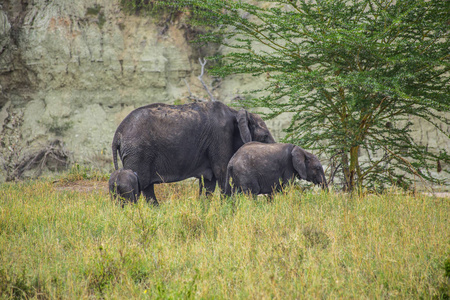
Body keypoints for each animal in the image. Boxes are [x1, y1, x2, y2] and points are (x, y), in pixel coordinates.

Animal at [112, 102, 274, 205]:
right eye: (265, 136)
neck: (235, 112)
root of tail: (118, 133)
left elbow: (209, 184)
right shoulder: (221, 138)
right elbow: (222, 175)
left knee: (147, 190)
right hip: (138, 153)